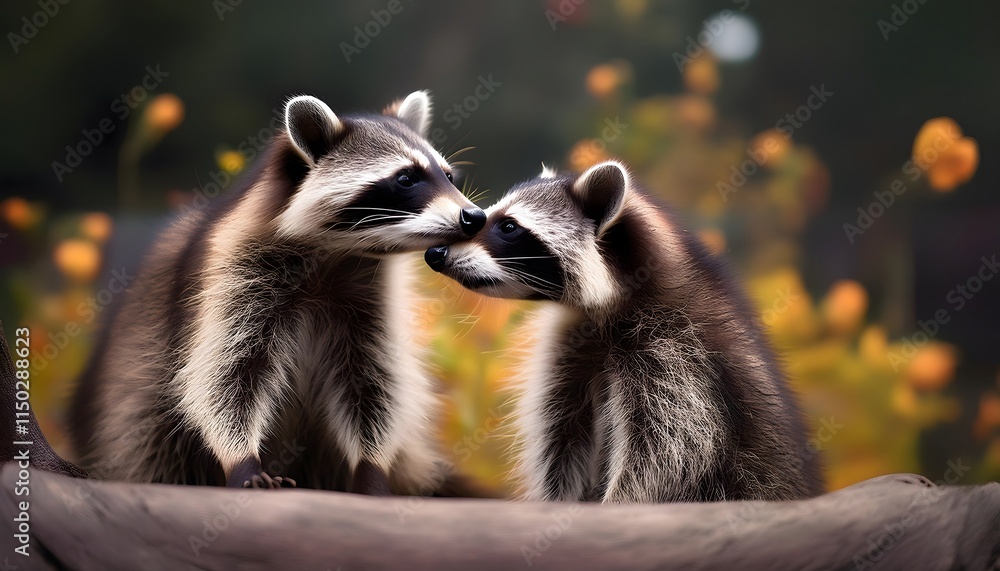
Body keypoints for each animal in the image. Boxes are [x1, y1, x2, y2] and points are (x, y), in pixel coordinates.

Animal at [71, 92, 487, 493]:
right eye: (406, 179)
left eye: (448, 176)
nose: (475, 217)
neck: (336, 255)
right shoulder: (231, 276)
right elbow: (223, 376)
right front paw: (241, 458)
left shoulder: (371, 301)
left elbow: (374, 383)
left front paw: (371, 467)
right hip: (132, 407)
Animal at [425, 160, 823, 503]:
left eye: (508, 227)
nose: (435, 253)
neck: (611, 306)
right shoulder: (571, 346)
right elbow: (562, 441)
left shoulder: (678, 356)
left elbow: (665, 455)